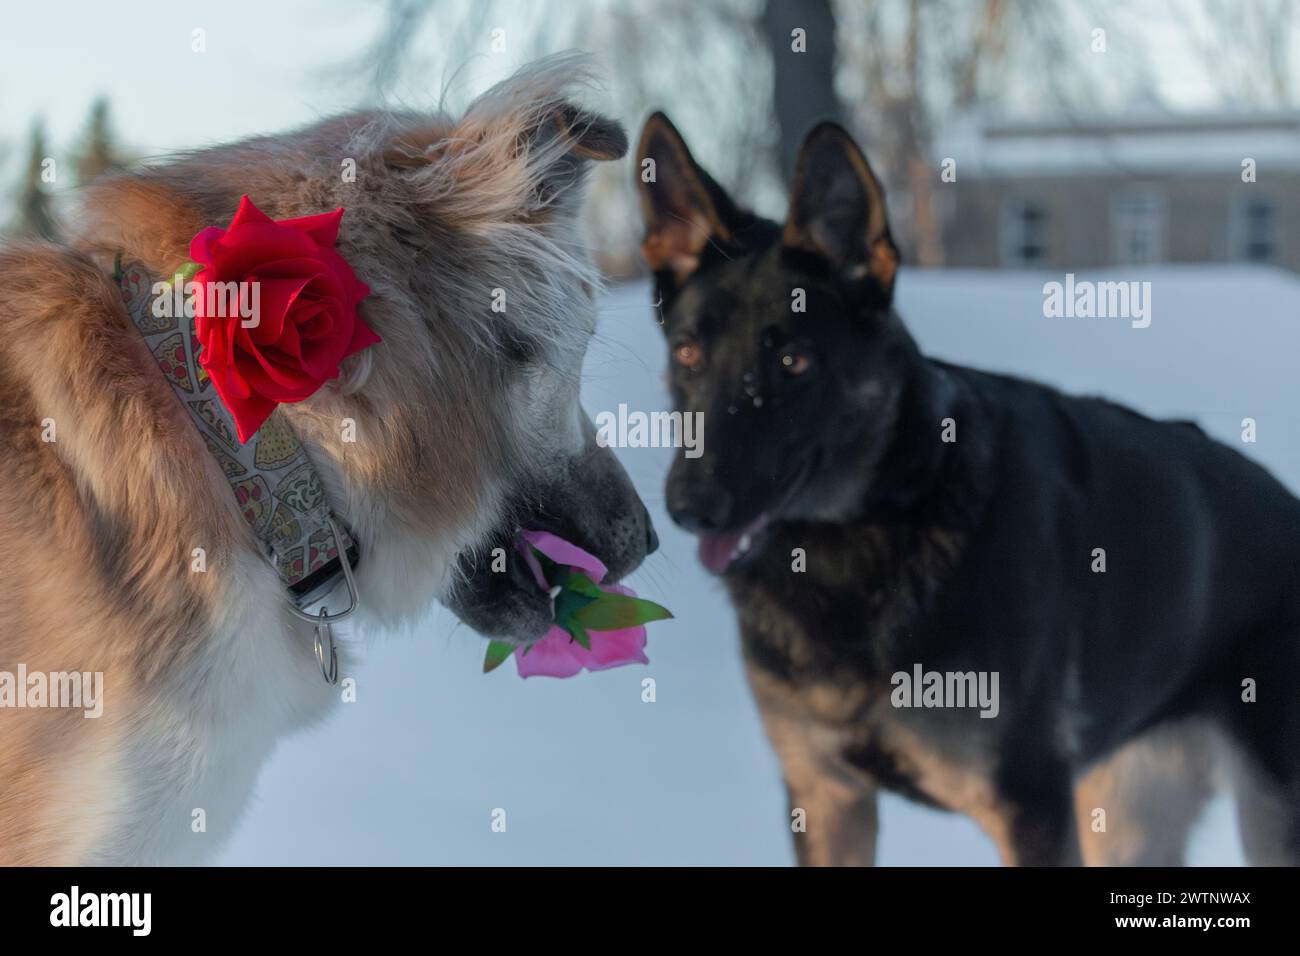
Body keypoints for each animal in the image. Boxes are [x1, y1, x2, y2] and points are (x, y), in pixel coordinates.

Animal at [634, 111, 1300, 868]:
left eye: (795, 361)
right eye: (687, 354)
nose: (689, 506)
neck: (866, 537)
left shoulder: (1029, 809)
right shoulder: (827, 797)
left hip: (1265, 815)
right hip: (1127, 815)